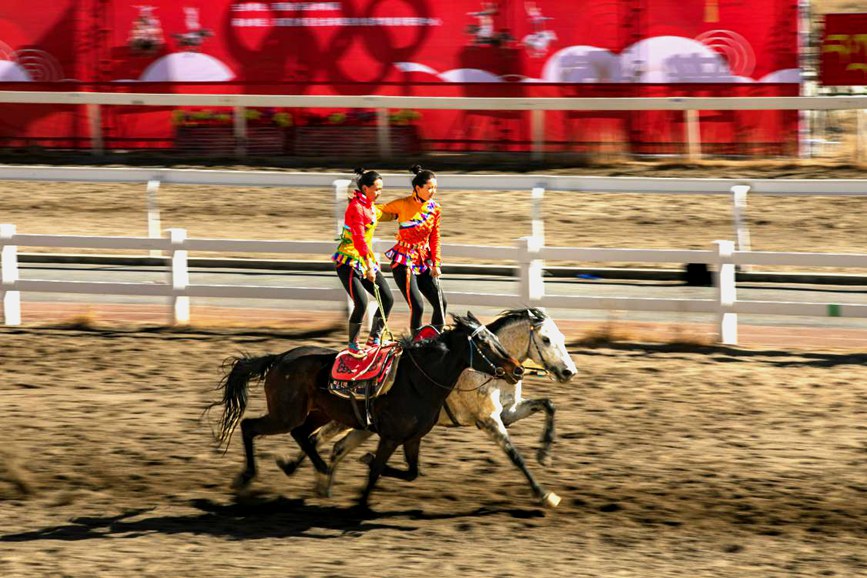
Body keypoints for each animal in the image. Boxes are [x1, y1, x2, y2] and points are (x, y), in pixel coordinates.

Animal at [210, 312, 524, 506]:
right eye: (483, 342)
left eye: (496, 338)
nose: (517, 370)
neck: (417, 379)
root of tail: (278, 359)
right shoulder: (391, 436)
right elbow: (376, 471)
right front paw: (360, 500)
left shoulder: (412, 438)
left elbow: (411, 472)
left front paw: (365, 462)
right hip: (285, 415)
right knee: (249, 426)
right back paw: (247, 478)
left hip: (316, 413)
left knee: (302, 435)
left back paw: (320, 469)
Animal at [278, 306, 576, 504]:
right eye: (546, 339)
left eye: (562, 338)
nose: (569, 372)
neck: (485, 371)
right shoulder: (490, 419)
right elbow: (514, 455)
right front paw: (544, 494)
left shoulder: (509, 412)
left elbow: (548, 405)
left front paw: (544, 454)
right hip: (345, 419)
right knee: (317, 438)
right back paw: (305, 474)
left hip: (365, 426)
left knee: (337, 447)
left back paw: (323, 485)